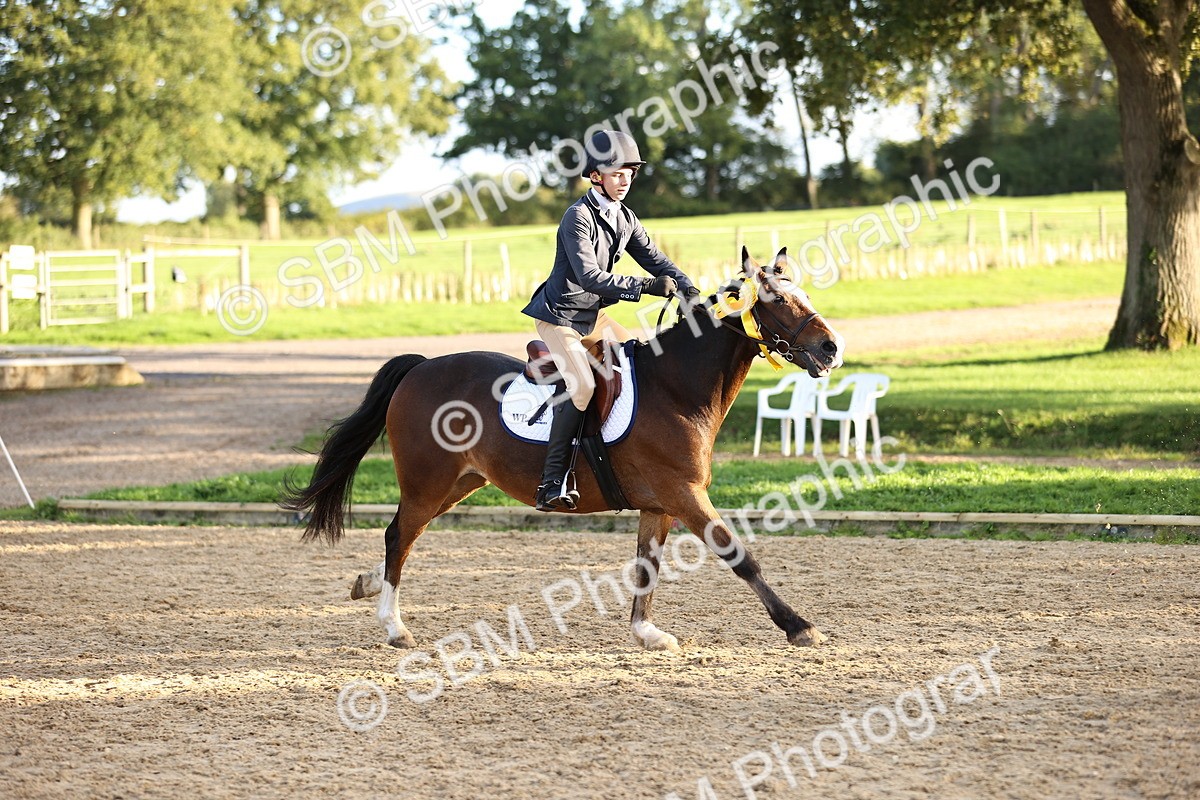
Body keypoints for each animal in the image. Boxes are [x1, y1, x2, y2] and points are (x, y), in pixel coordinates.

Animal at [281, 248, 845, 652]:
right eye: (777, 301)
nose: (831, 349)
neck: (675, 387)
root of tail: (419, 367)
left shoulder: (659, 503)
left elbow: (647, 566)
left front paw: (645, 633)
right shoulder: (684, 494)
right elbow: (739, 556)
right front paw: (797, 625)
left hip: (459, 484)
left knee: (401, 536)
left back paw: (367, 584)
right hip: (427, 482)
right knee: (399, 536)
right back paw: (394, 627)